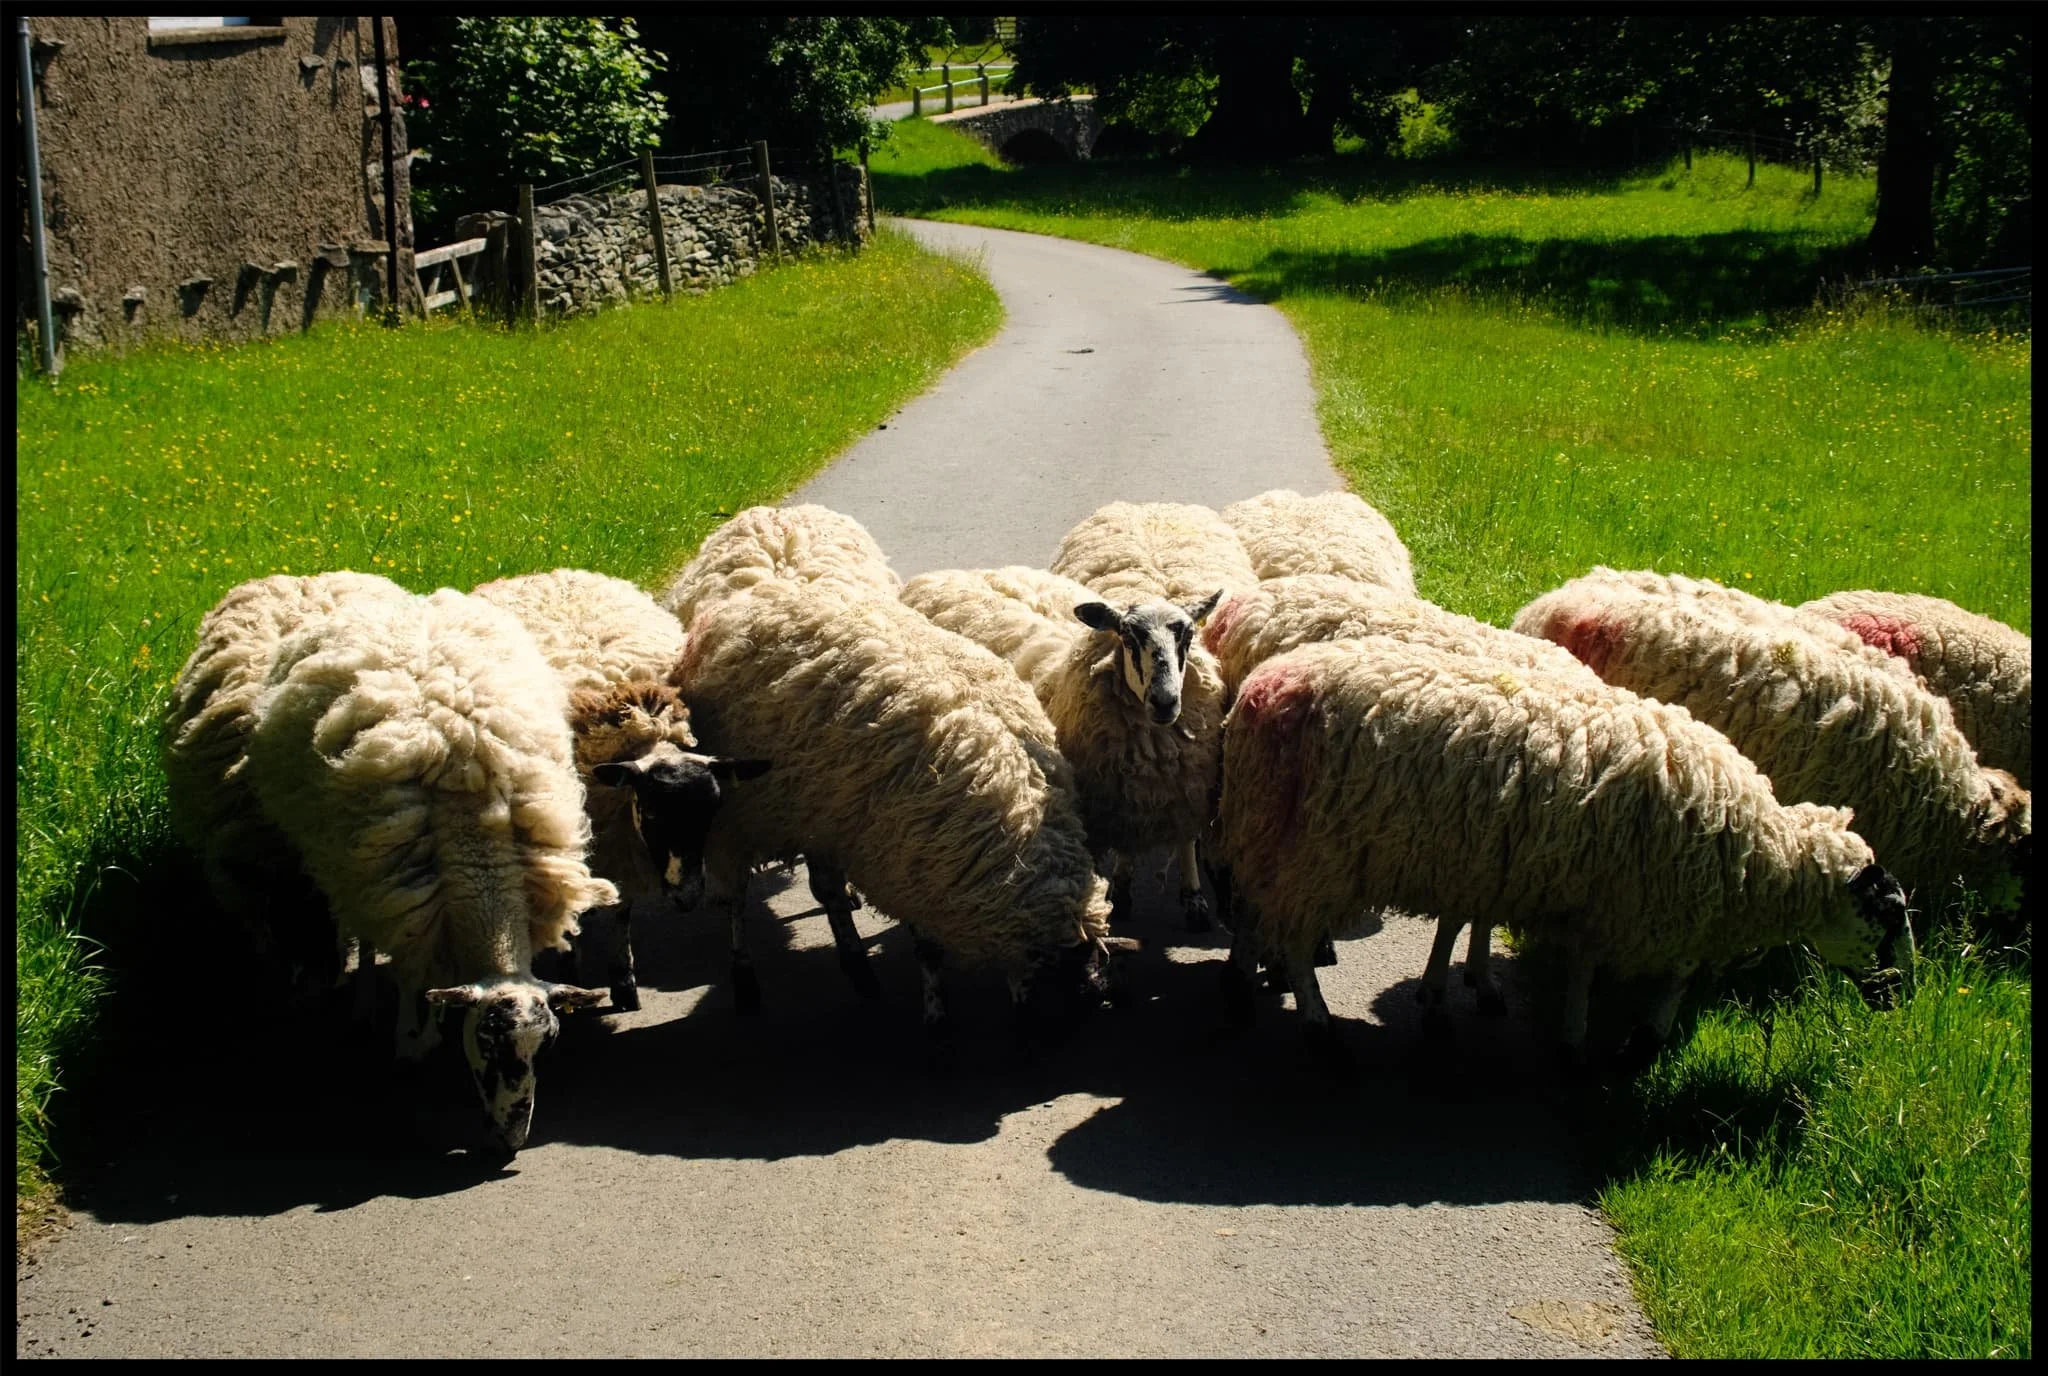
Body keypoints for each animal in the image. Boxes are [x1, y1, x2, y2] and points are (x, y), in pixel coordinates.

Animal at [243, 587, 616, 1156]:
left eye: (546, 1046)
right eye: (486, 1042)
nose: (513, 1139)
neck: (475, 851)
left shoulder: (433, 905)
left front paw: (433, 1024)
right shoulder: (402, 895)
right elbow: (408, 971)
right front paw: (408, 1039)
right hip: (350, 864)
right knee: (361, 931)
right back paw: (364, 999)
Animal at [475, 568, 764, 1012]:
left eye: (711, 812)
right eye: (653, 813)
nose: (688, 897)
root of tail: (541, 572)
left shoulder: (620, 839)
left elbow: (622, 909)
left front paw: (623, 978)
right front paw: (571, 968)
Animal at [670, 577, 1122, 1027]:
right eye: (1062, 989)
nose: (1098, 997)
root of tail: (752, 595)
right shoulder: (912, 865)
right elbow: (928, 949)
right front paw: (936, 1012)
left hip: (818, 808)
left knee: (827, 889)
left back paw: (858, 967)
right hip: (740, 815)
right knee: (737, 897)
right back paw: (747, 980)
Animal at [900, 565, 1227, 933]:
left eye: (1187, 637)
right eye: (1128, 638)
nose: (1165, 702)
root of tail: (950, 572)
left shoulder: (1184, 788)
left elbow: (1185, 841)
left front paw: (1194, 902)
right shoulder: (1102, 802)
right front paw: (1117, 895)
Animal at [1212, 638, 1913, 1065]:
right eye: (1886, 915)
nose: (1904, 997)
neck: (1756, 857)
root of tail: (1262, 689)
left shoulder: (1512, 869)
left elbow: (1474, 927)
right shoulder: (1627, 901)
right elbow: (1627, 971)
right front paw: (1608, 1039)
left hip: (1268, 829)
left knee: (1254, 911)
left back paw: (1244, 984)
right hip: (1313, 850)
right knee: (1292, 937)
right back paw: (1316, 1022)